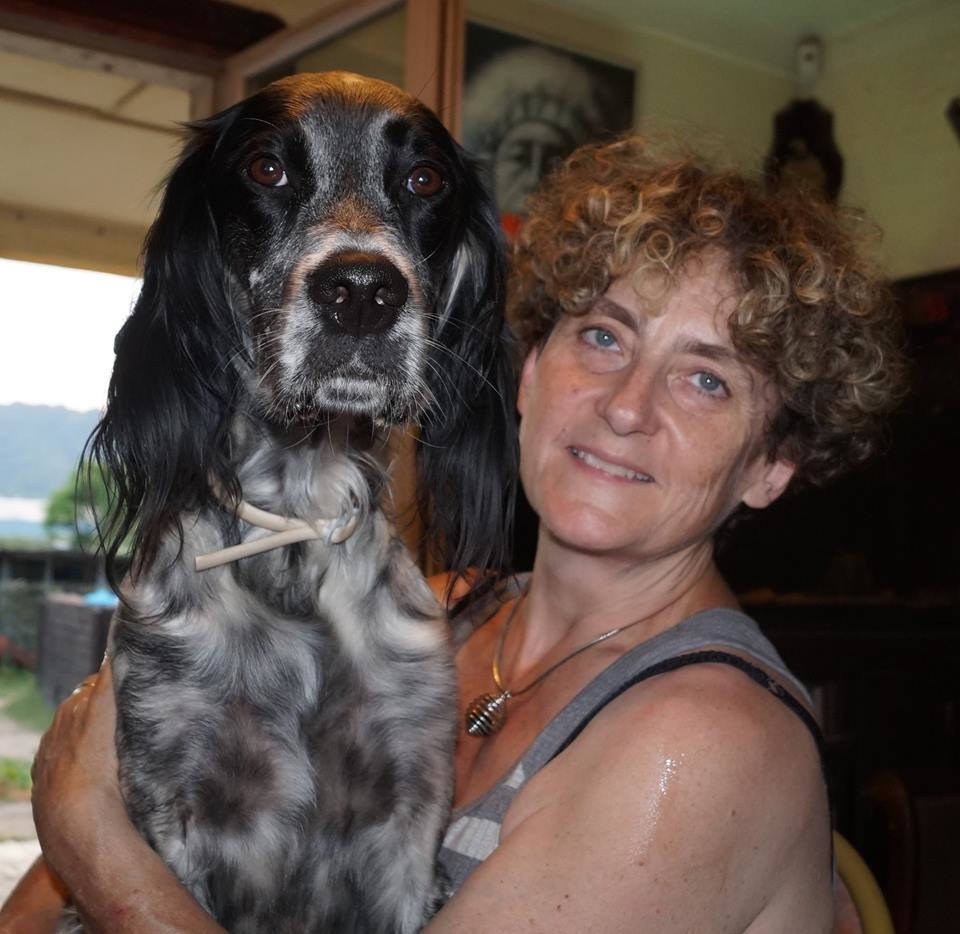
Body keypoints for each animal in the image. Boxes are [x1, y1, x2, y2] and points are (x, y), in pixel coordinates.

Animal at [61, 72, 516, 933]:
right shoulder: (173, 806)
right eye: (266, 169)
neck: (297, 536)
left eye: (424, 179)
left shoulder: (407, 819)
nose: (362, 292)